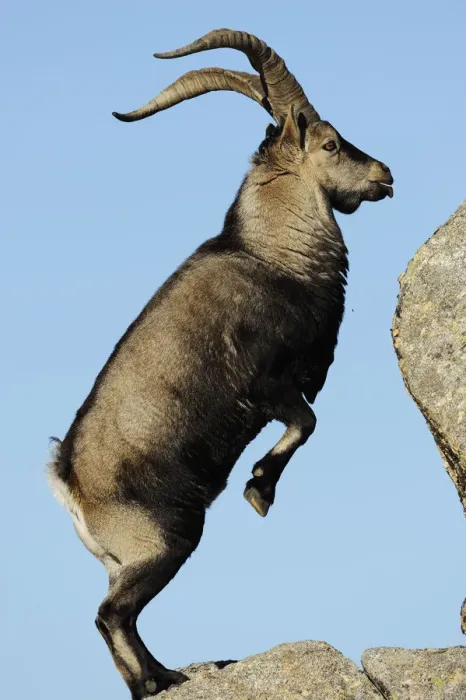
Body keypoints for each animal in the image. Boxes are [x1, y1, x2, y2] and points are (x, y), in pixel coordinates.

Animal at [48, 29, 393, 699]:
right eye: (331, 142)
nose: (385, 175)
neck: (272, 255)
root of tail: (68, 480)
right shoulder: (269, 385)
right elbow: (307, 425)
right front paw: (259, 488)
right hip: (167, 540)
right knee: (111, 615)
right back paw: (156, 681)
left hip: (129, 559)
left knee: (118, 615)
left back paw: (162, 675)